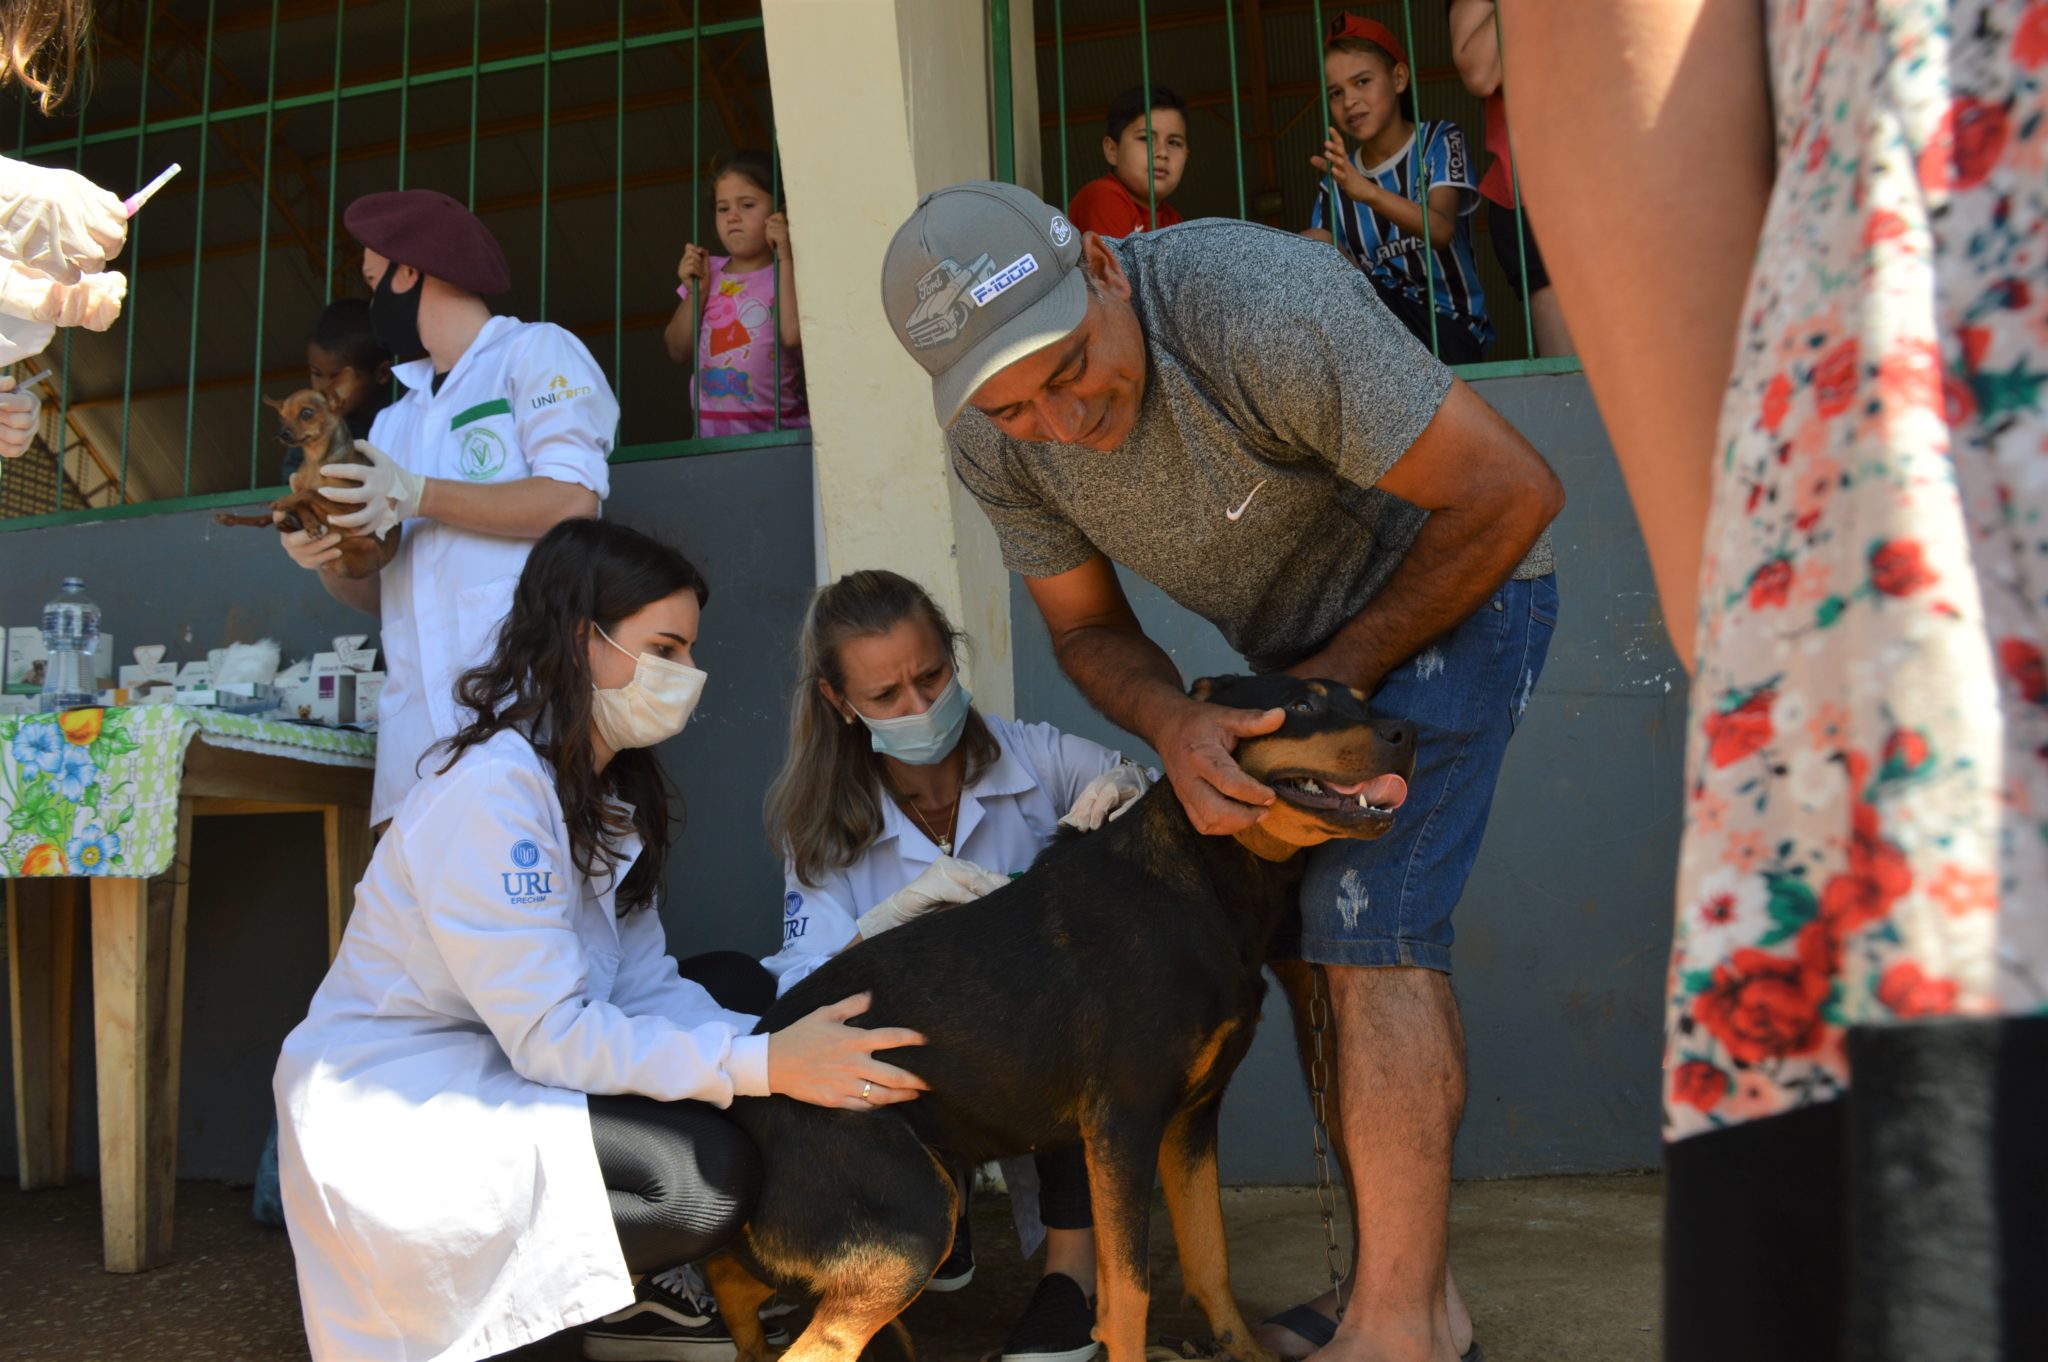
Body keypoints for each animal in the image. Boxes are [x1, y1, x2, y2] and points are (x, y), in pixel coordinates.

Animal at [211, 382, 399, 577]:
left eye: (306, 413)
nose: (282, 433)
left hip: (360, 543)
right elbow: (303, 495)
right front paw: (308, 521)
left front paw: (284, 502)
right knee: (265, 520)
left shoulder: (355, 514)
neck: (316, 461)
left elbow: (311, 492)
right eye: (281, 418)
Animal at [704, 675, 1409, 1359]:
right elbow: (1128, 1295)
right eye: (1299, 705)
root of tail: (746, 1093)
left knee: (733, 1274)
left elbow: (1211, 1259)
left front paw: (1245, 1352)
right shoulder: (1124, 1124)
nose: (1407, 732)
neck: (1208, 878)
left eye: (1364, 700)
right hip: (911, 1222)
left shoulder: (1190, 1121)